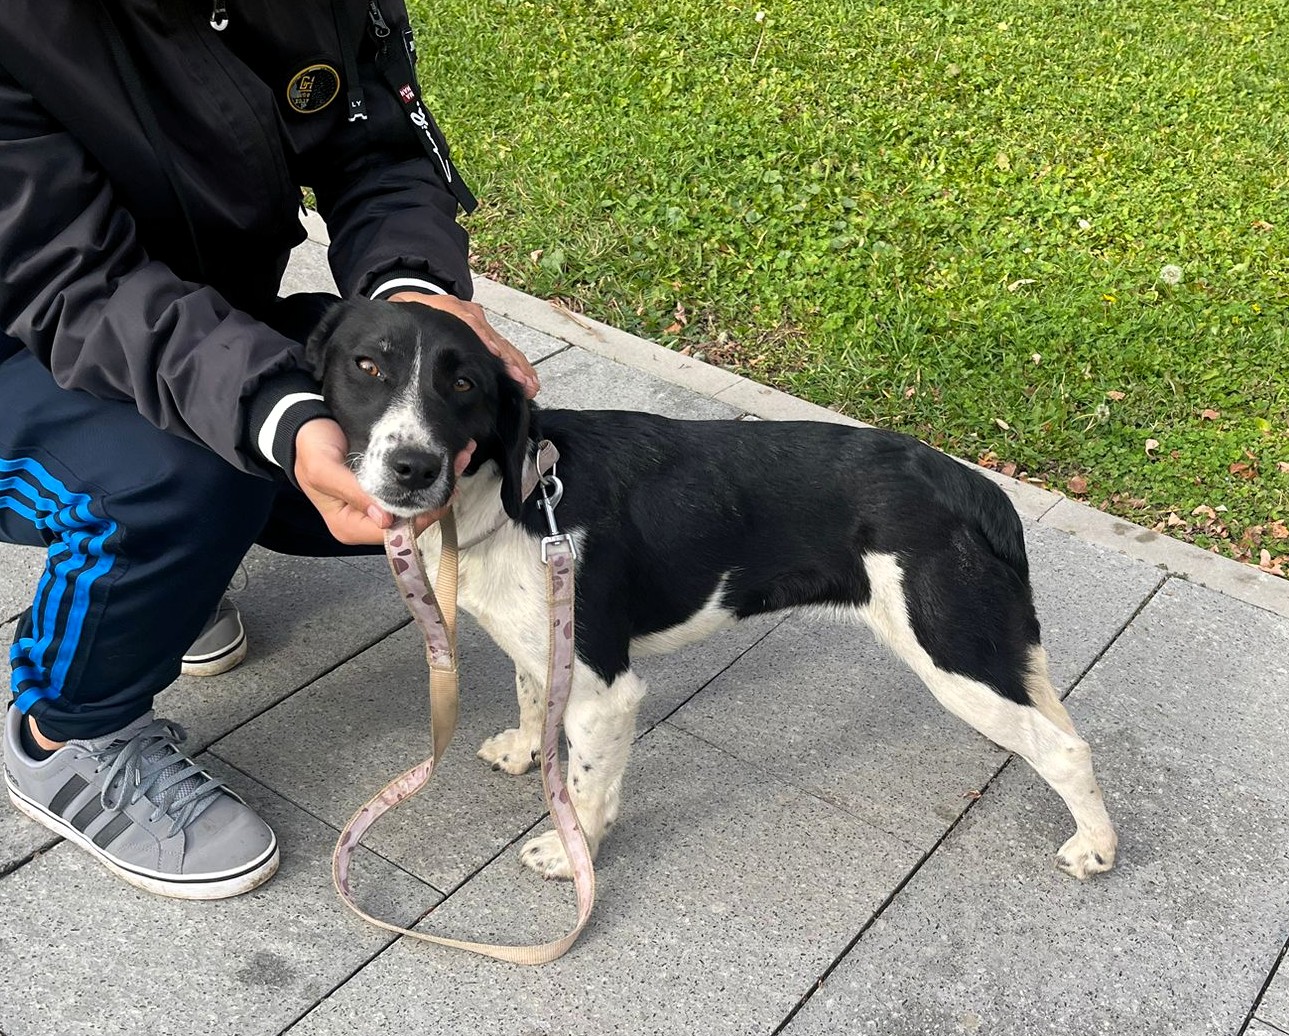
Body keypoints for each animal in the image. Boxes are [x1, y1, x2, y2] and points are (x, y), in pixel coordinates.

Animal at [307, 298, 1118, 882]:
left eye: (463, 383)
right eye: (367, 366)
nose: (411, 467)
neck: (513, 494)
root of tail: (972, 487)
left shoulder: (607, 690)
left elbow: (588, 787)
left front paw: (572, 855)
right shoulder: (543, 646)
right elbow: (533, 699)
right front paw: (524, 752)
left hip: (952, 657)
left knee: (1067, 749)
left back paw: (1096, 849)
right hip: (995, 652)